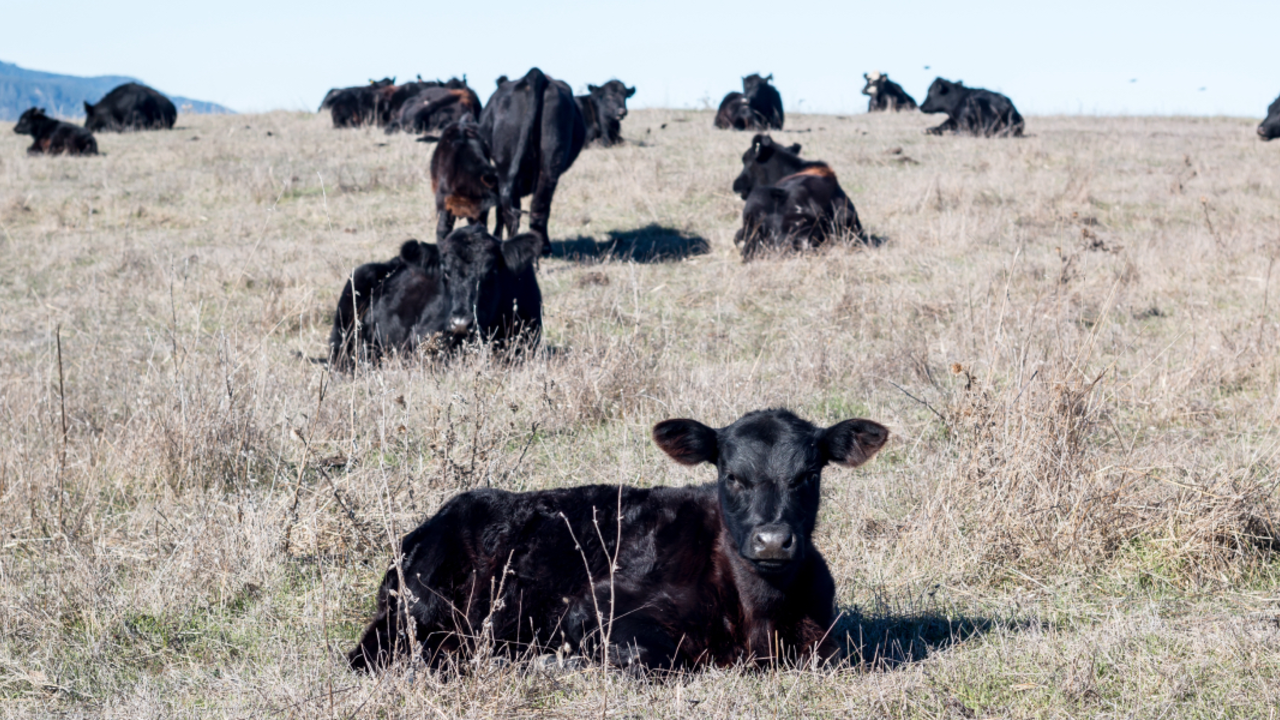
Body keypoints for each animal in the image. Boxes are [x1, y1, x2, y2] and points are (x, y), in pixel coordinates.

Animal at [347, 408, 889, 673]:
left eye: (808, 474)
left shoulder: (827, 637)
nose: (773, 541)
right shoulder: (594, 609)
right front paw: (553, 663)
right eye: (732, 475)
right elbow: (652, 659)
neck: (758, 615)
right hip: (417, 613)